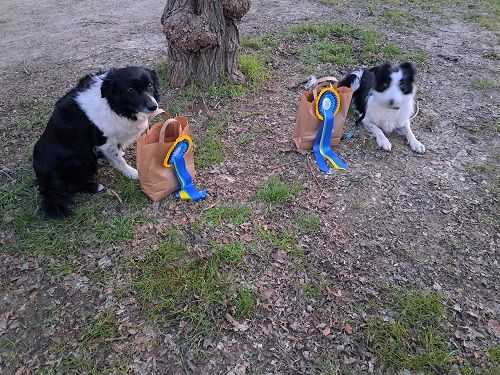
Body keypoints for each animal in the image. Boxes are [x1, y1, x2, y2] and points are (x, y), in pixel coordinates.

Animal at [33, 66, 158, 219]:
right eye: (130, 89)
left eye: (150, 85)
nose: (153, 106)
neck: (111, 103)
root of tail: (43, 182)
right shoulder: (104, 140)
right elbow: (118, 159)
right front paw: (131, 172)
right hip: (83, 160)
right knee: (71, 187)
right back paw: (95, 186)